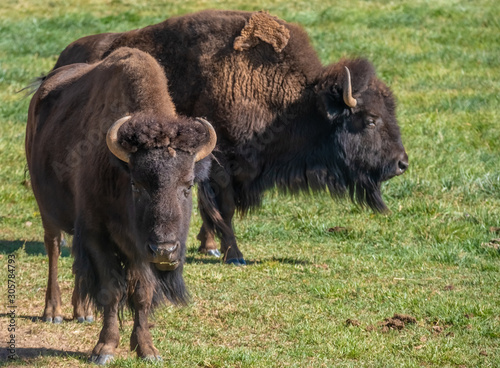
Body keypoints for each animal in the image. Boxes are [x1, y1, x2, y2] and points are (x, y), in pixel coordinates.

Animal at [25, 46, 217, 362]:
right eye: (136, 184)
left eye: (188, 185)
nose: (164, 250)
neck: (119, 168)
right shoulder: (97, 234)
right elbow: (111, 291)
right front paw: (104, 349)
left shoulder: (139, 250)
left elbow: (141, 293)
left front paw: (147, 349)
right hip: (47, 210)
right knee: (53, 248)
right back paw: (53, 311)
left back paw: (83, 312)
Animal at [48, 10, 408, 266]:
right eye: (370, 120)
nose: (401, 164)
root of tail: (63, 59)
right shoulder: (223, 165)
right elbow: (224, 207)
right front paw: (233, 253)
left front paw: (208, 245)